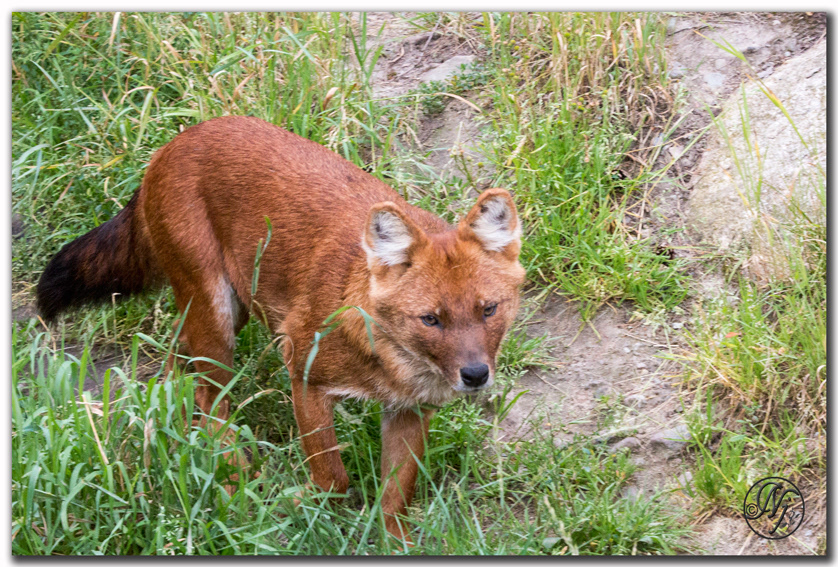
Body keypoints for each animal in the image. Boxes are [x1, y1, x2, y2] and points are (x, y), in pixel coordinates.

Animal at [39, 114, 528, 540]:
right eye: (431, 319)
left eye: (488, 310)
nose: (475, 375)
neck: (397, 360)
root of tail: (174, 143)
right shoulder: (304, 373)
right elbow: (333, 477)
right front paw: (290, 505)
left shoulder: (409, 411)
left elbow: (395, 499)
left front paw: (396, 543)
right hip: (215, 307)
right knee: (211, 395)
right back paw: (234, 479)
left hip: (228, 305)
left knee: (182, 359)